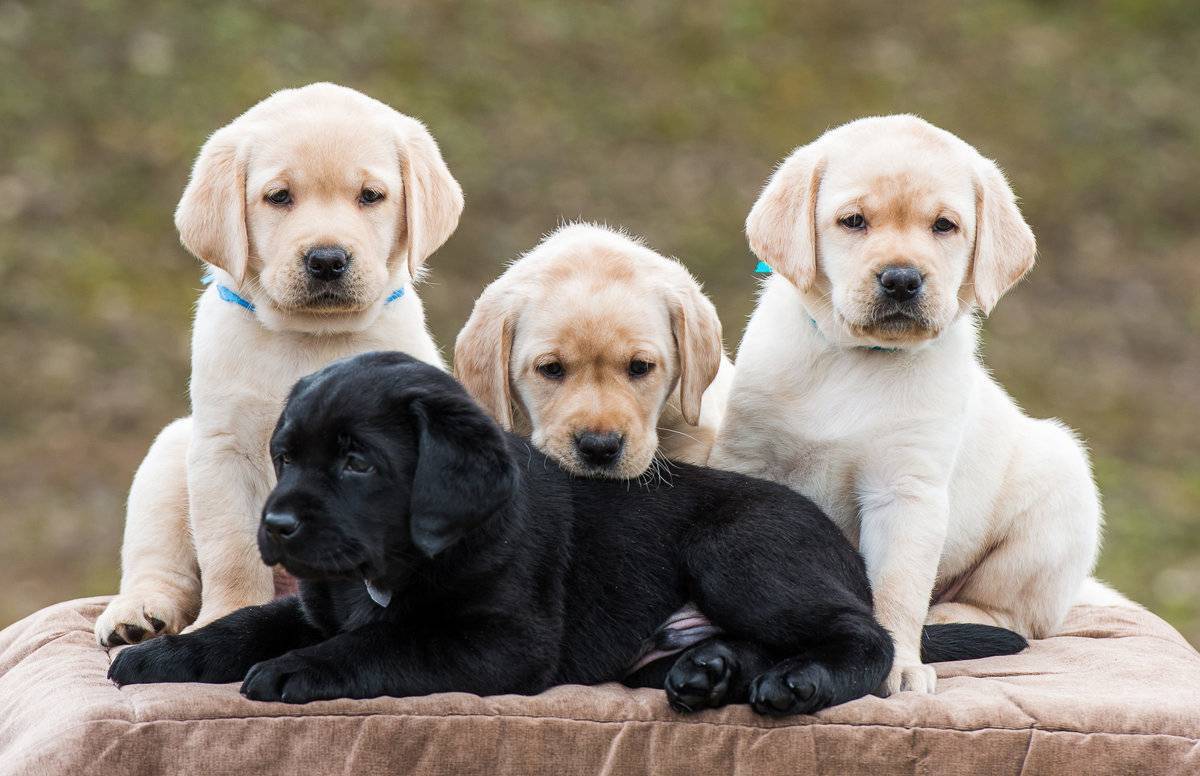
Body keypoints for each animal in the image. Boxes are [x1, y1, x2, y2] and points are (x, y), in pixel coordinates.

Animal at [94, 83, 463, 647]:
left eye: (370, 196)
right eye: (279, 197)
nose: (327, 260)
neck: (311, 337)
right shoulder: (222, 451)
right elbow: (231, 550)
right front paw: (228, 616)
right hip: (169, 456)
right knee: (159, 565)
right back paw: (136, 614)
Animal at [112, 352, 1027, 714]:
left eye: (358, 463)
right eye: (284, 455)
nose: (274, 524)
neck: (397, 563)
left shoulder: (502, 638)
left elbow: (383, 643)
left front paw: (295, 671)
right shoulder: (311, 601)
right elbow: (240, 624)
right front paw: (158, 656)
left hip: (740, 550)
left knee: (867, 637)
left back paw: (795, 683)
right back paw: (709, 673)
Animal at [710, 116, 1104, 700]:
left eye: (944, 226)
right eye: (853, 221)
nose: (901, 279)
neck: (859, 359)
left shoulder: (906, 490)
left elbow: (896, 585)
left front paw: (897, 666)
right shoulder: (750, 459)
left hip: (1058, 488)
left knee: (1016, 613)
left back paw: (949, 618)